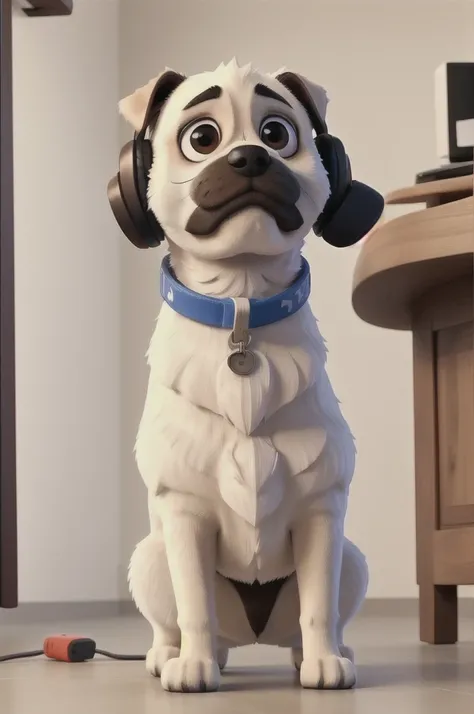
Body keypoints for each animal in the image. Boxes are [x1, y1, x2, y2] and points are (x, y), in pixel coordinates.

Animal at [109, 58, 380, 692]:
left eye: (278, 133)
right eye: (202, 137)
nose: (252, 157)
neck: (241, 303)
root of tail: (252, 634)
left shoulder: (322, 514)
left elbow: (318, 604)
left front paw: (325, 662)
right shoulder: (184, 515)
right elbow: (194, 605)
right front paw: (194, 667)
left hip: (353, 560)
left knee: (317, 611)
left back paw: (319, 653)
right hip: (149, 557)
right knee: (181, 619)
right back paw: (174, 655)